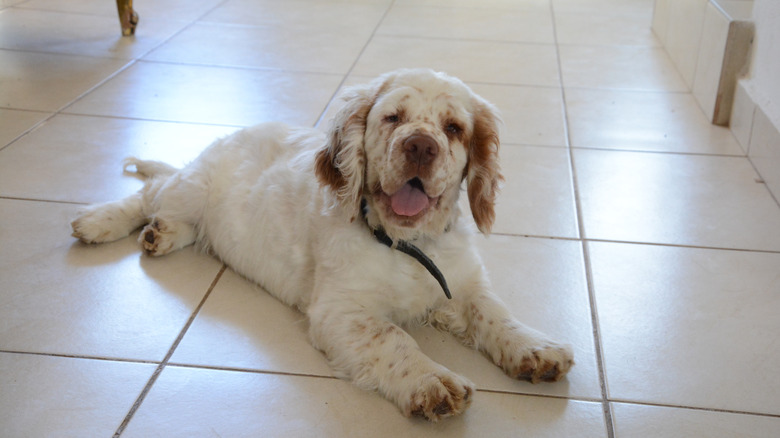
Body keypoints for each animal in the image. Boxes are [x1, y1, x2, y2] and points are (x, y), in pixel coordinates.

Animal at [71, 69, 572, 420]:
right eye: (392, 118)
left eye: (453, 128)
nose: (420, 147)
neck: (407, 244)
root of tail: (230, 135)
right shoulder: (340, 309)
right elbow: (393, 336)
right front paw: (432, 380)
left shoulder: (463, 283)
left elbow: (495, 313)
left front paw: (535, 350)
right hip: (193, 187)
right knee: (150, 191)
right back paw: (100, 221)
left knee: (183, 219)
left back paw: (162, 233)